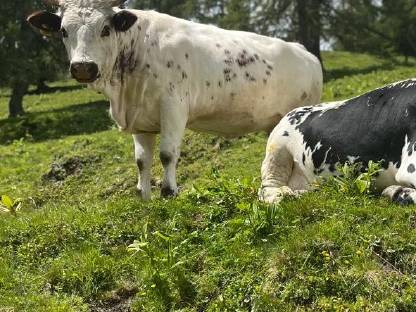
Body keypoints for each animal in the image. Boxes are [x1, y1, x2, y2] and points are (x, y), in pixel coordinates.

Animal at [27, 0, 324, 200]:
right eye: (64, 31)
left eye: (105, 29)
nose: (83, 67)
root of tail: (304, 51)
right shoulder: (140, 120)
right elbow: (141, 160)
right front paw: (144, 194)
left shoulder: (173, 108)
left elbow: (167, 153)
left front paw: (169, 191)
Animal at [260, 78, 416, 205]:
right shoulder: (409, 168)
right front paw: (398, 192)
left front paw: (397, 191)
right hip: (278, 148)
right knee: (267, 187)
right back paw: (283, 196)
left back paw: (299, 193)